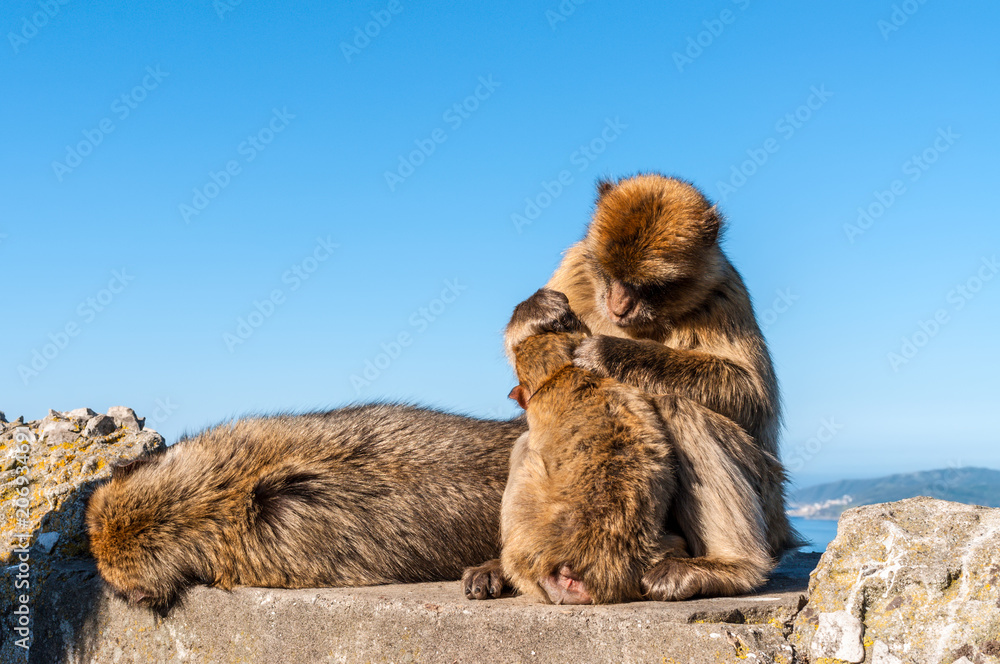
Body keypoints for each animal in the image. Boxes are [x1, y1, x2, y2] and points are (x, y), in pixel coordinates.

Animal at [465, 173, 799, 602]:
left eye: (649, 286)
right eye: (612, 276)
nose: (619, 306)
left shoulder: (724, 290)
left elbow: (752, 393)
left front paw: (609, 351)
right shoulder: (577, 263)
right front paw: (534, 311)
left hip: (768, 496)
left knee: (679, 406)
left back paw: (729, 567)